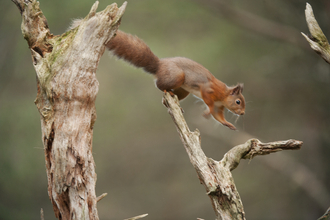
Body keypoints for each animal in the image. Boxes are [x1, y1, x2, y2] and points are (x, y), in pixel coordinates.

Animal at [106, 29, 245, 129]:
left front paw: (228, 124)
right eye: (238, 101)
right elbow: (210, 105)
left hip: (183, 90)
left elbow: (218, 116)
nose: (243, 113)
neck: (223, 95)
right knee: (159, 84)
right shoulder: (209, 89)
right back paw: (167, 91)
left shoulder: (219, 107)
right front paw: (207, 112)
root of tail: (160, 65)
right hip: (177, 76)